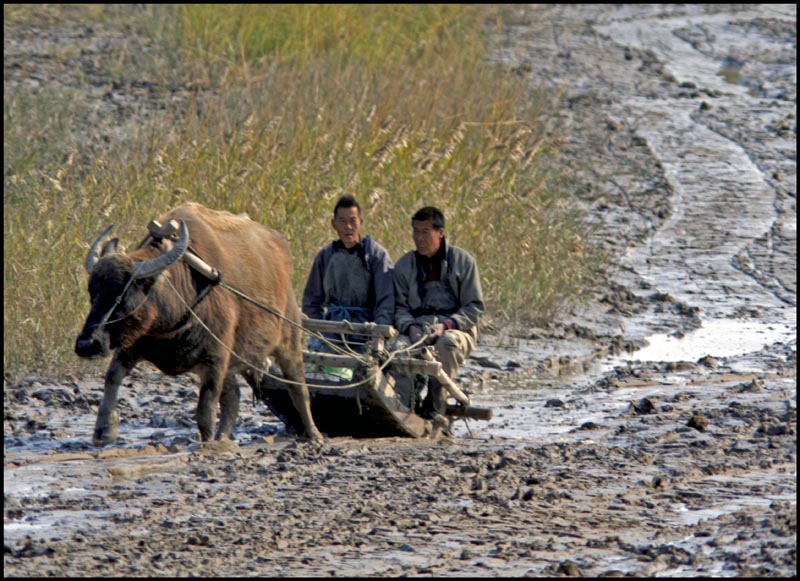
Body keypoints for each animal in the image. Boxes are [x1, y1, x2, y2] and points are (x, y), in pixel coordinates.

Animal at [75, 203, 322, 444]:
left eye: (122, 295)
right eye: (93, 292)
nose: (86, 344)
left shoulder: (215, 360)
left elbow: (205, 412)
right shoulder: (132, 344)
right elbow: (112, 377)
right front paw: (104, 431)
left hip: (289, 340)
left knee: (298, 387)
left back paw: (313, 434)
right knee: (233, 397)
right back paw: (223, 438)